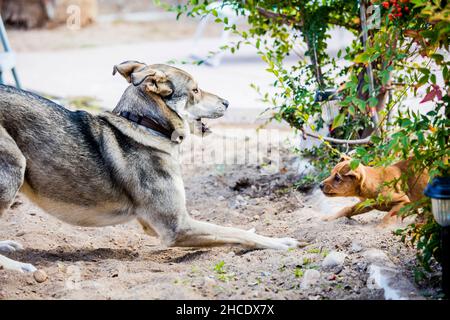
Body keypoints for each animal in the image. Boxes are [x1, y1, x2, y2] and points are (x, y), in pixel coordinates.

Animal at [0, 60, 302, 272]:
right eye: (195, 90)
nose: (228, 102)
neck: (145, 124)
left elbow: (232, 229)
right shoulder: (176, 226)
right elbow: (232, 231)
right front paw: (280, 243)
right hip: (15, 166)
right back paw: (19, 268)